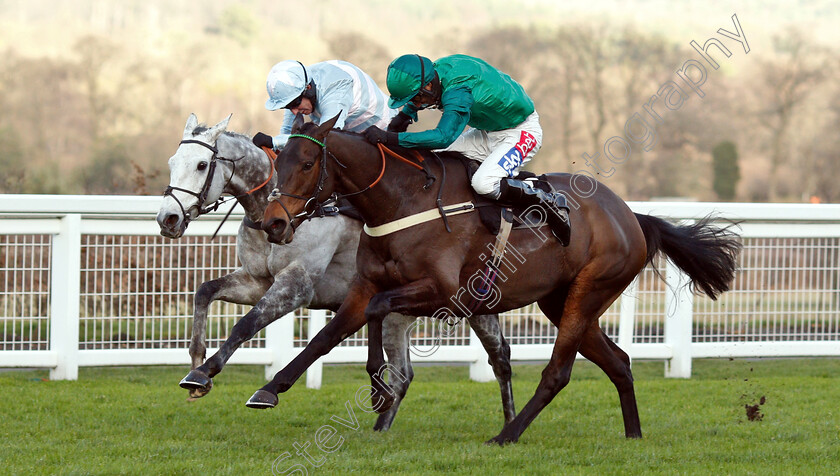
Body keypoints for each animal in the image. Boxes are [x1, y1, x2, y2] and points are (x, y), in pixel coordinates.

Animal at [154, 113, 516, 430]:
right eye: (171, 162)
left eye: (202, 165)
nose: (167, 218)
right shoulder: (257, 281)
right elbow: (205, 290)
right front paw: (196, 362)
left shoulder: (296, 286)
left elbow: (246, 323)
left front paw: (204, 373)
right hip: (398, 314)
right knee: (403, 373)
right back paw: (381, 427)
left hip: (469, 302)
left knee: (499, 356)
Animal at [253, 113, 740, 444]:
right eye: (280, 160)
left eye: (309, 162)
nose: (273, 222)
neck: (402, 202)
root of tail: (632, 216)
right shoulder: (365, 285)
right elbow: (326, 337)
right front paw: (270, 390)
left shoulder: (442, 294)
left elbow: (375, 312)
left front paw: (379, 392)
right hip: (561, 301)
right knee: (619, 362)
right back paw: (633, 435)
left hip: (590, 290)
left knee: (558, 373)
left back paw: (507, 435)